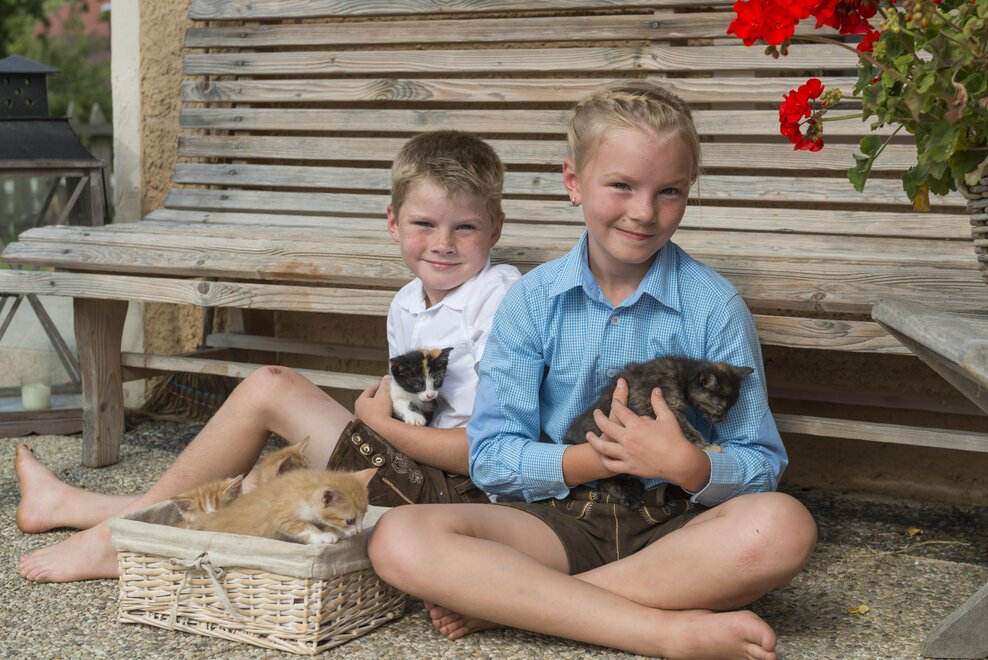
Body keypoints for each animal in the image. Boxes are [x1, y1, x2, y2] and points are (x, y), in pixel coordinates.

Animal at [187, 467, 377, 544]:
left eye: (364, 515)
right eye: (349, 521)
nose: (359, 531)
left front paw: (331, 531)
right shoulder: (279, 513)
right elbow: (303, 526)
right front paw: (322, 536)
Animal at [563, 356, 754, 509]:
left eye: (731, 408)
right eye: (720, 409)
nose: (723, 419)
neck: (682, 373)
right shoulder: (665, 409)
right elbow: (689, 431)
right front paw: (710, 447)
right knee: (605, 480)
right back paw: (628, 494)